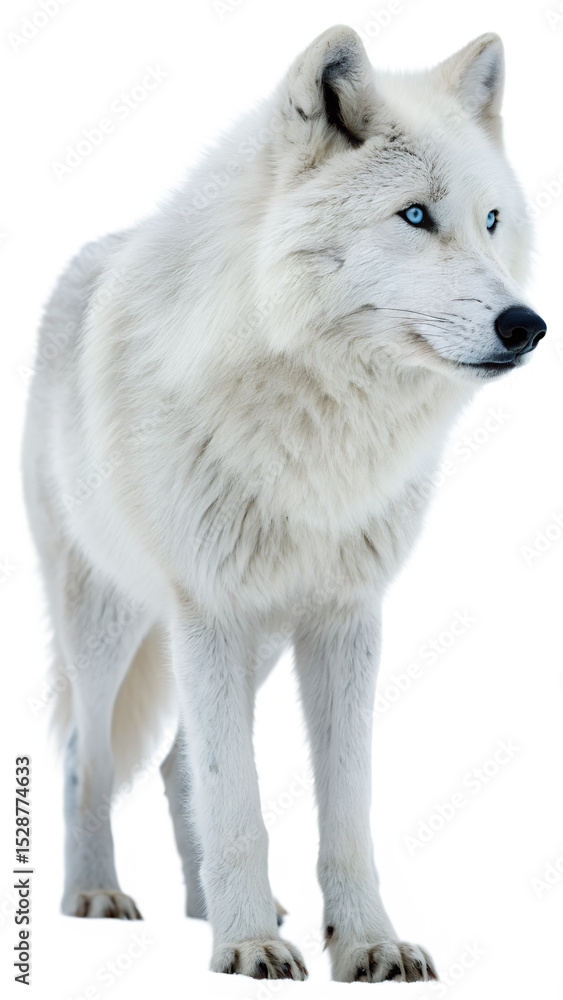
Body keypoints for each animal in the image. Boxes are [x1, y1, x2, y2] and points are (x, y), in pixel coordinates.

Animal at [22, 25, 545, 983]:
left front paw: (365, 942)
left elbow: (343, 811)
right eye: (415, 216)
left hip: (257, 640)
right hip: (110, 619)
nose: (525, 326)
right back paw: (100, 895)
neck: (321, 427)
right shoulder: (209, 612)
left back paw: (210, 906)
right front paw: (249, 948)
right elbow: (237, 800)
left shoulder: (345, 617)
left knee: (174, 765)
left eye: (491, 221)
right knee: (88, 755)